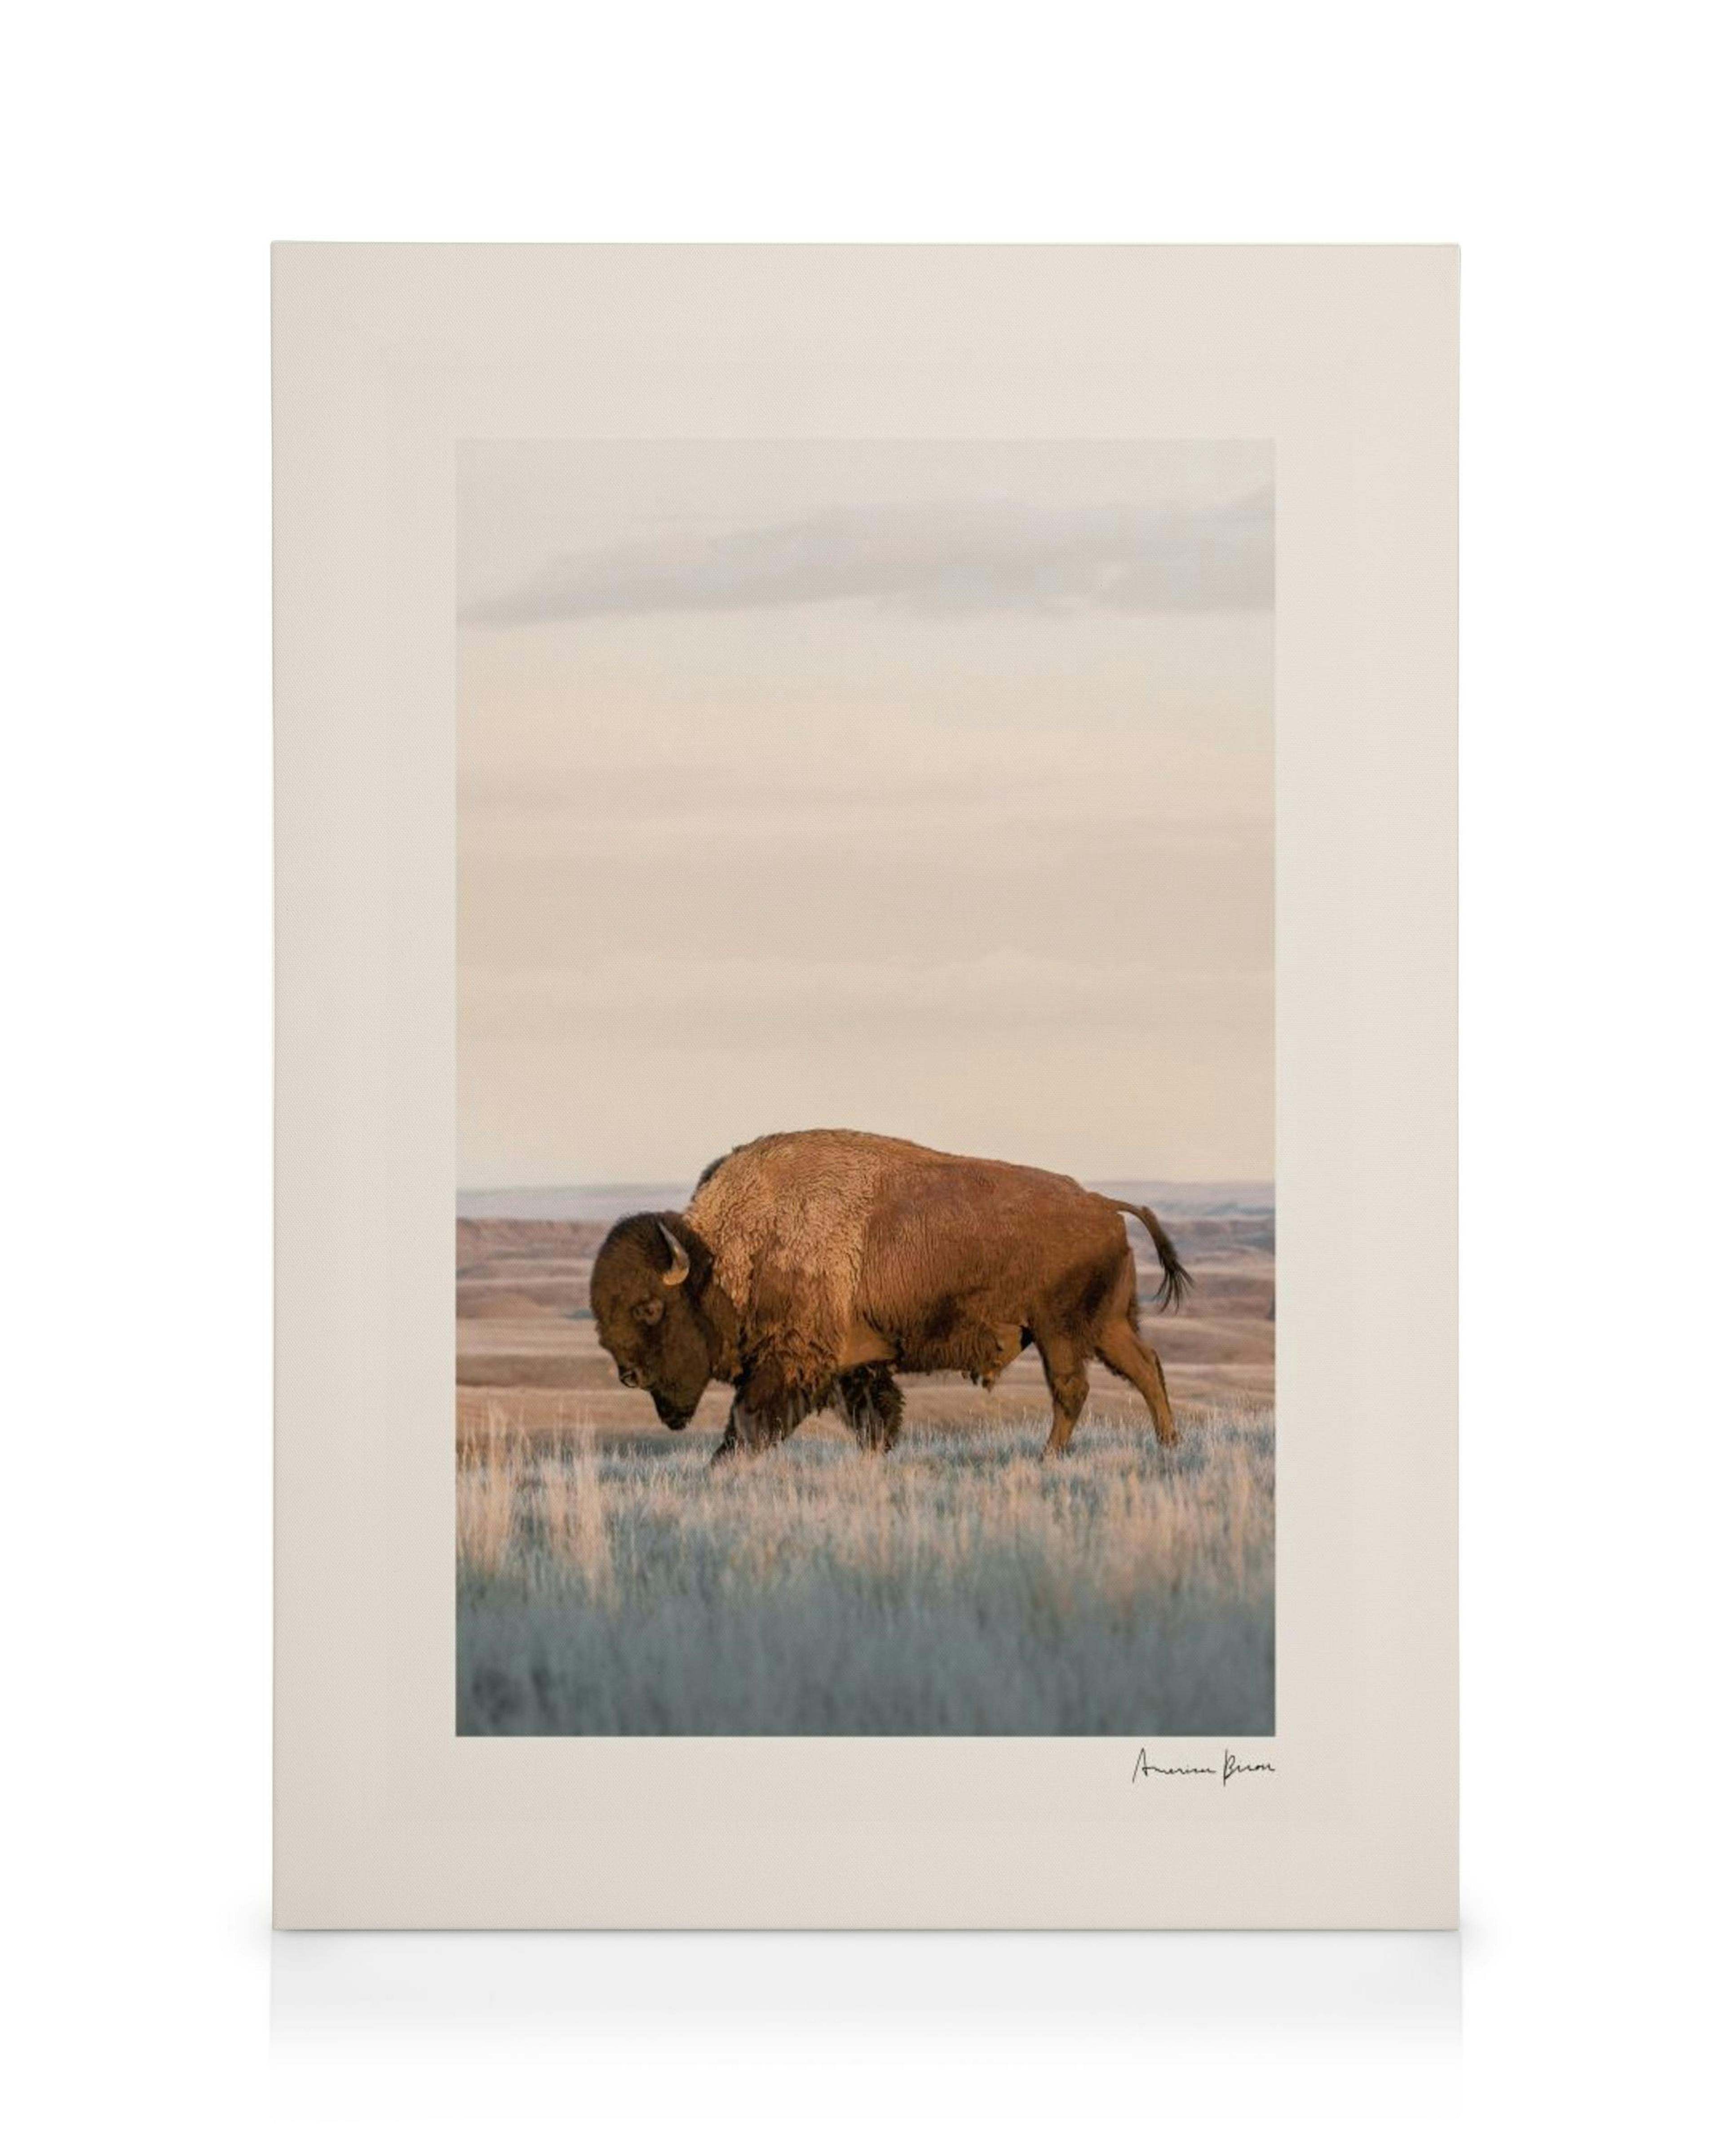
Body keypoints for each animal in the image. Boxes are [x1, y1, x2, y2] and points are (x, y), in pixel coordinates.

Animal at [590, 1129, 1192, 1463]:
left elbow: (749, 1422)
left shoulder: (794, 1363)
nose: (630, 1376)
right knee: (1145, 1369)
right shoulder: (856, 1365)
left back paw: (1049, 1458)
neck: (727, 1255)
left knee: (1073, 1390)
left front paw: (721, 1468)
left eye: (649, 1307)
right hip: (1107, 1326)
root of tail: (1102, 1204)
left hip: (1060, 1330)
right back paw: (1168, 1444)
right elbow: (875, 1421)